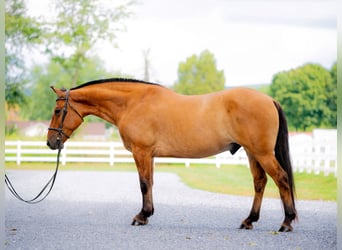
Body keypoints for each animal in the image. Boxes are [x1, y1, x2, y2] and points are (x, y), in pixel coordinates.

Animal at [46, 78, 298, 232]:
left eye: (58, 110)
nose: (50, 142)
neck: (133, 103)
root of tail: (269, 99)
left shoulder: (141, 151)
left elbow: (144, 184)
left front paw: (141, 216)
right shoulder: (149, 155)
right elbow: (150, 183)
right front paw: (147, 214)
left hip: (262, 153)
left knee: (281, 179)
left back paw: (286, 222)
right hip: (252, 153)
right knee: (260, 182)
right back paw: (249, 221)